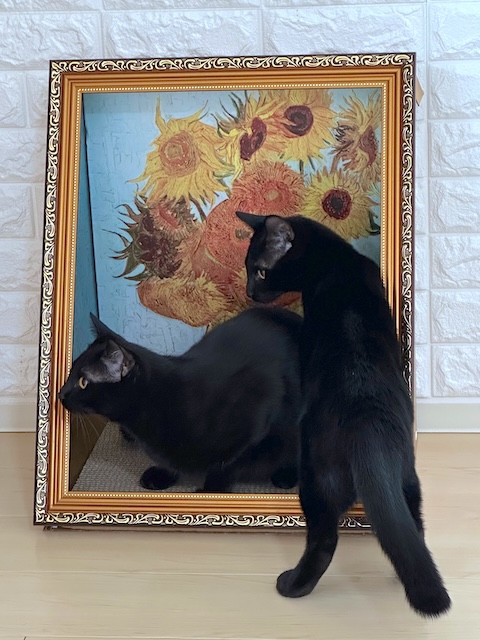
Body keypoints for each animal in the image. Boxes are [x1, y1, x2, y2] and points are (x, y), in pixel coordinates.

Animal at [59, 307, 302, 493]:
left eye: (83, 382)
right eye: (71, 372)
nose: (60, 394)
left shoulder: (260, 411)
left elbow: (227, 465)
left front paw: (211, 491)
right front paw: (163, 474)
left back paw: (286, 475)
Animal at [236, 210, 451, 618]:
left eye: (259, 271)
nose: (249, 293)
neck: (335, 260)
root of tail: (367, 426)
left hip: (315, 479)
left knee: (323, 540)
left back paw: (293, 586)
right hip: (407, 480)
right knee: (410, 529)